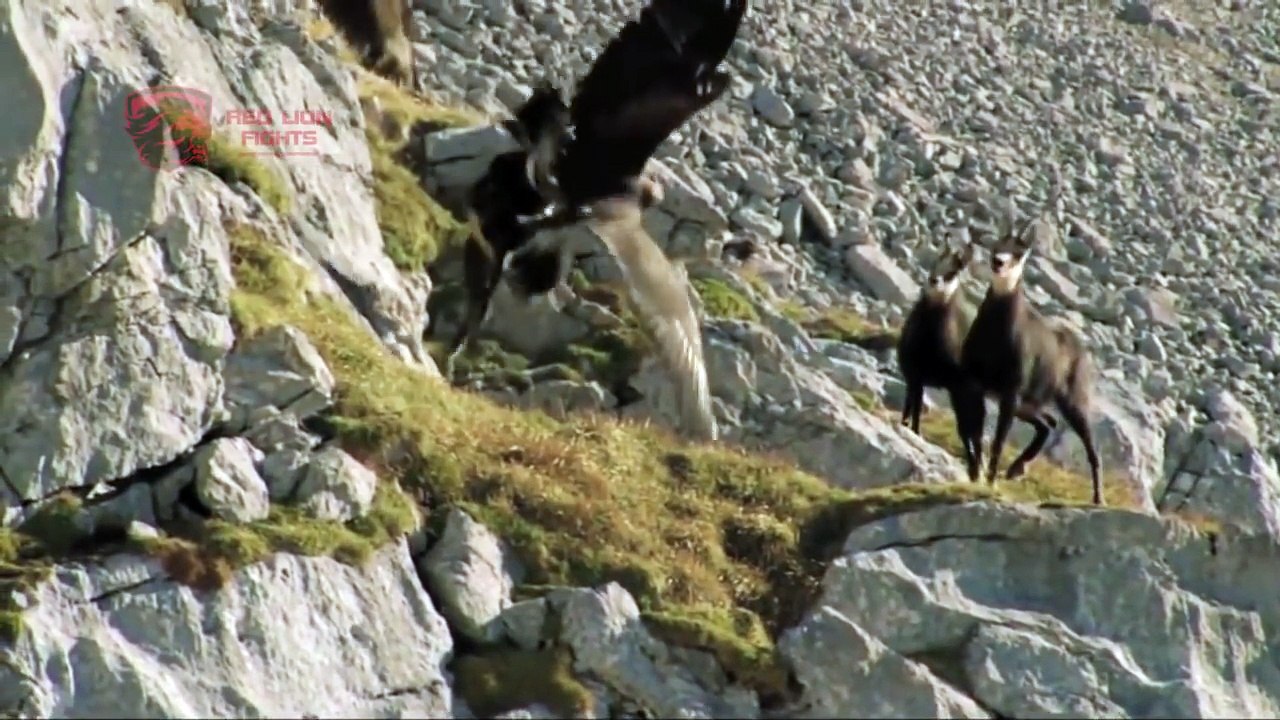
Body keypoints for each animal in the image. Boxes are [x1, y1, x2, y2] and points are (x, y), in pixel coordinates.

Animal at [896, 239, 986, 482]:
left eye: (954, 270)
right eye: (937, 259)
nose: (933, 280)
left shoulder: (958, 386)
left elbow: (966, 429)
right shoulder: (914, 375)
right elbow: (912, 407)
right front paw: (909, 429)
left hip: (970, 393)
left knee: (974, 430)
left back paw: (977, 470)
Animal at [959, 220, 1103, 504]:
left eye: (1020, 252)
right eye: (997, 245)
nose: (998, 262)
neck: (996, 333)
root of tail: (1081, 349)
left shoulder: (1010, 392)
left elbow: (998, 440)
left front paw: (989, 483)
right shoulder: (975, 385)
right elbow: (972, 432)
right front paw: (974, 473)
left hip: (1069, 400)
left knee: (1089, 446)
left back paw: (1097, 499)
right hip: (1027, 404)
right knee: (1048, 423)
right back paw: (1017, 468)